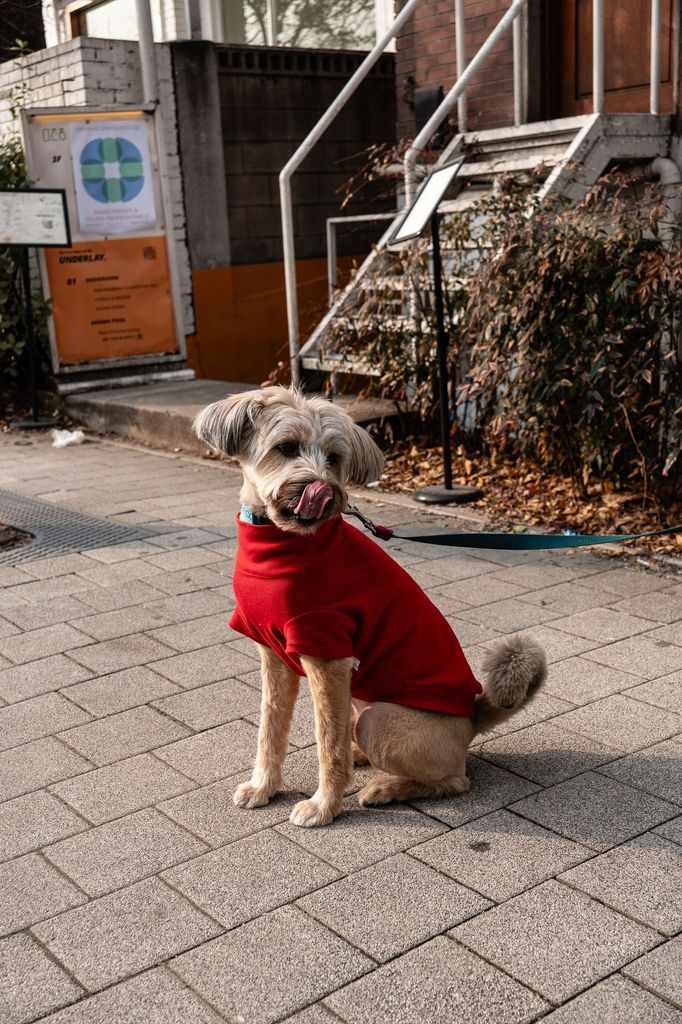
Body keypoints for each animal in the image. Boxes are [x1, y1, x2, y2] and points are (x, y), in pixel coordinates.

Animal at [193, 387, 544, 827]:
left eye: (334, 458)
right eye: (286, 447)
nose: (323, 490)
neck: (283, 543)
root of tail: (471, 715)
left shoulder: (327, 656)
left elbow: (327, 744)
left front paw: (324, 806)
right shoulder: (275, 659)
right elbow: (269, 728)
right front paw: (264, 787)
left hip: (379, 718)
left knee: (455, 780)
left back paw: (385, 788)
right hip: (359, 697)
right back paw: (360, 757)